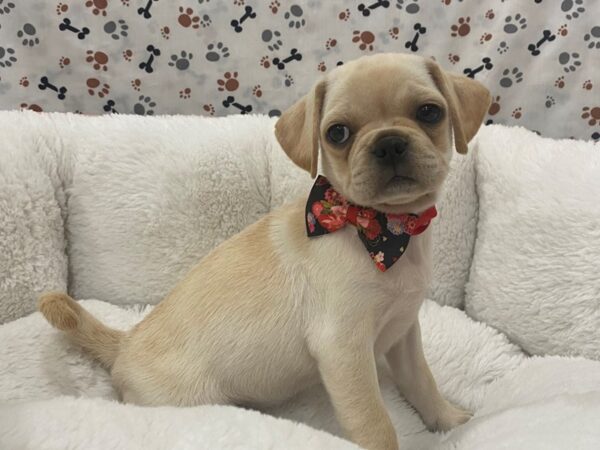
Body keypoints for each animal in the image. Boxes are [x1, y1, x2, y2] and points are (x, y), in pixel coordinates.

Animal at [41, 53, 492, 450]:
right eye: (338, 133)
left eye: (430, 113)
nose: (390, 143)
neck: (384, 228)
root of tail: (125, 343)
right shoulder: (344, 350)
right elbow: (374, 422)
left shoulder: (404, 332)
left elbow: (422, 381)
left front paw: (448, 420)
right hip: (189, 403)